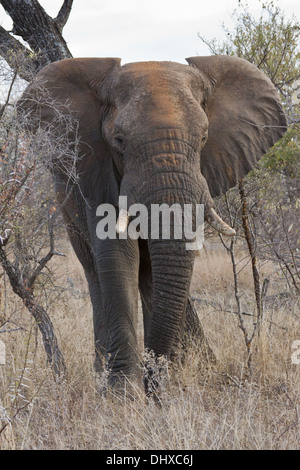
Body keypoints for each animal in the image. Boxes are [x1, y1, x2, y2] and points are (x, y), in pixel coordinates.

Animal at [18, 55, 286, 392]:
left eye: (203, 138)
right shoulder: (97, 171)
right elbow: (118, 257)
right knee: (96, 273)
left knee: (148, 273)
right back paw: (103, 373)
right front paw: (122, 393)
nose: (152, 383)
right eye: (119, 140)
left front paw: (161, 380)